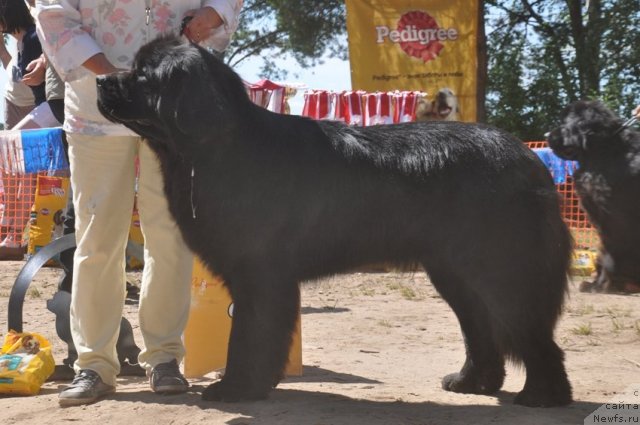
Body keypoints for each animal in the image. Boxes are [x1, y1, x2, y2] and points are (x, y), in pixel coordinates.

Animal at [97, 34, 572, 406]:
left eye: (142, 74)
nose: (99, 79)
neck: (211, 150)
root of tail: (530, 159)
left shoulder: (260, 272)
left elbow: (250, 333)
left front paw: (236, 388)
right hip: (455, 273)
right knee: (482, 329)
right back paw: (473, 383)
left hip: (500, 271)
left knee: (531, 333)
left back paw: (542, 396)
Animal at [544, 99, 640, 292]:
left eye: (565, 123)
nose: (546, 135)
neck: (602, 152)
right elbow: (604, 250)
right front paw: (598, 282)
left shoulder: (615, 219)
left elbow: (610, 252)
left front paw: (602, 285)